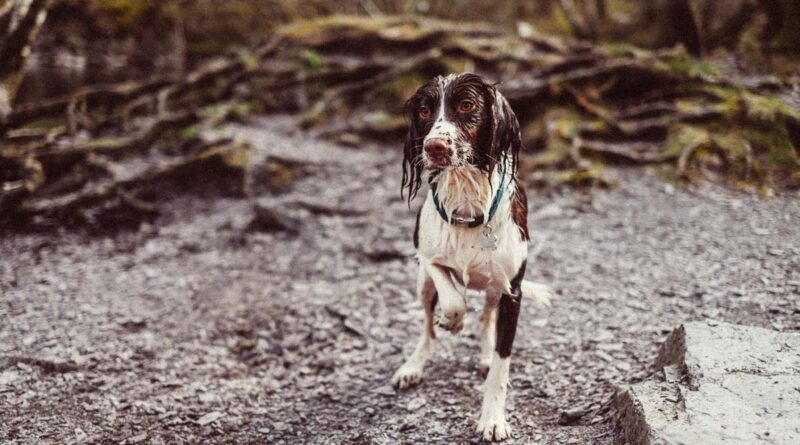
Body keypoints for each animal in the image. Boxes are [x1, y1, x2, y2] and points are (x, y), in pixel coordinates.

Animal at [390, 73, 552, 440]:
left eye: (466, 105)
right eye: (424, 110)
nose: (433, 147)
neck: (466, 205)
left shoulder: (512, 292)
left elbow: (502, 366)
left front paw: (492, 419)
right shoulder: (426, 257)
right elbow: (453, 298)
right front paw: (453, 320)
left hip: (495, 290)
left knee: (487, 319)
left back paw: (484, 354)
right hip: (423, 286)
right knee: (427, 329)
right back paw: (413, 364)